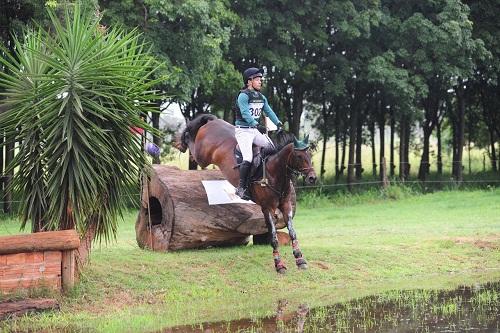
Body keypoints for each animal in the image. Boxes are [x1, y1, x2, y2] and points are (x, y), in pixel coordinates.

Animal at [176, 113, 316, 272]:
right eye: (299, 156)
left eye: (309, 155)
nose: (312, 178)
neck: (274, 173)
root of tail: (213, 122)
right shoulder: (267, 208)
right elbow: (273, 238)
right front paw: (279, 265)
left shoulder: (286, 205)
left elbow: (293, 233)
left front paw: (300, 259)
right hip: (203, 155)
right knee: (192, 143)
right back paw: (182, 142)